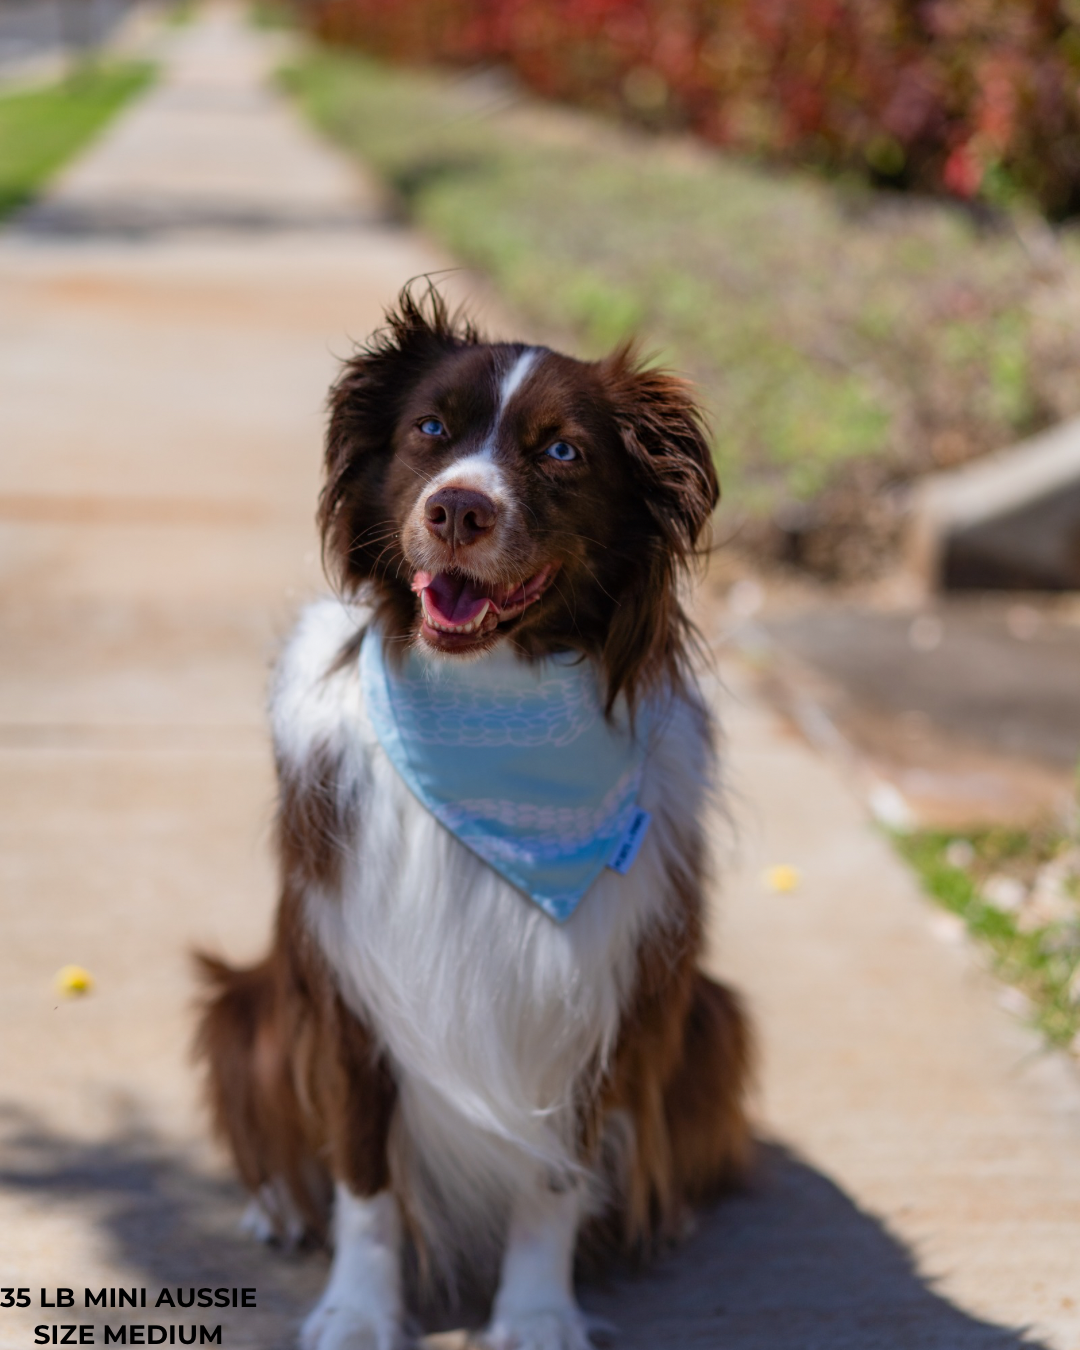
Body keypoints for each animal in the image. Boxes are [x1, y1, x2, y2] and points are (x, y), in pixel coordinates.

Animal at [195, 284, 750, 1350]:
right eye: (430, 430)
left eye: (563, 451)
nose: (457, 506)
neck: (491, 700)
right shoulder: (349, 985)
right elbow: (364, 1180)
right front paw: (358, 1311)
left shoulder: (598, 999)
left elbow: (552, 1182)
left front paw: (535, 1313)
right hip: (249, 1002)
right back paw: (279, 1205)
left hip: (709, 1012)